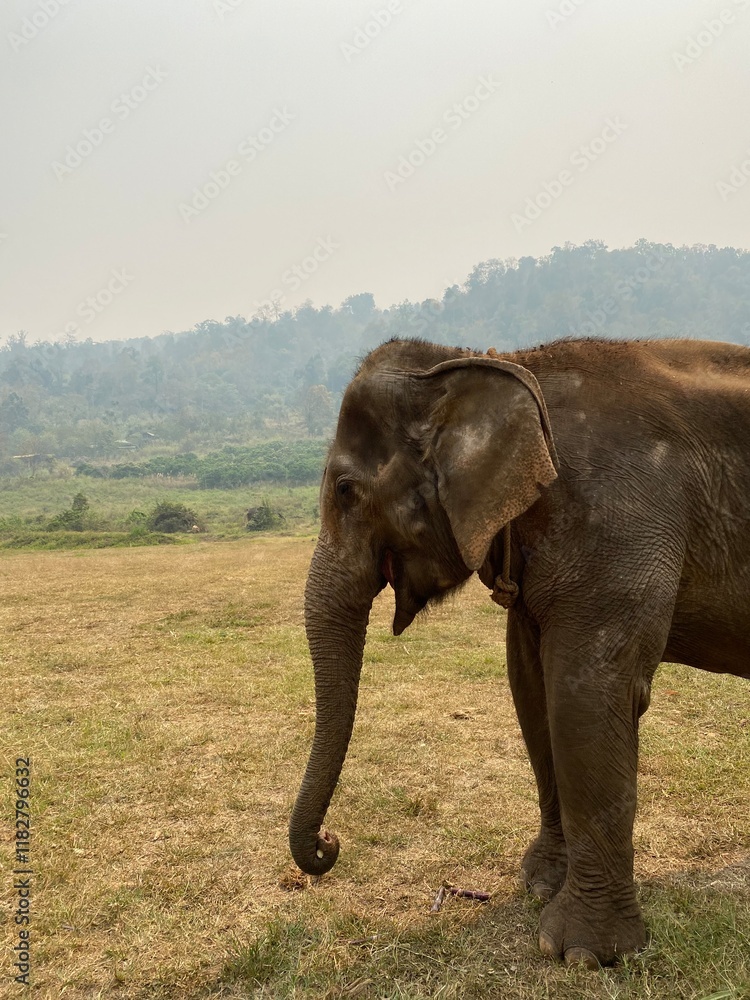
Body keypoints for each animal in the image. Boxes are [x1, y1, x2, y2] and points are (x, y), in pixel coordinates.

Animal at [288, 335, 750, 968]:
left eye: (343, 490)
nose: (330, 843)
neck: (506, 362)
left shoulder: (619, 519)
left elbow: (585, 692)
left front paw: (584, 953)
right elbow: (531, 685)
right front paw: (539, 885)